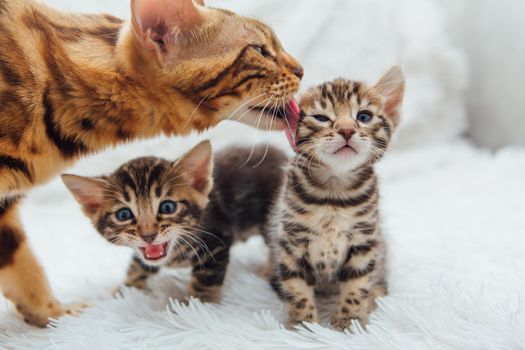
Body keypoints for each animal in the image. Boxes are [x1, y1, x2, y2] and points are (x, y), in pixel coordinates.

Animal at [63, 142, 288, 304]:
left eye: (167, 207)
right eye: (124, 214)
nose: (148, 235)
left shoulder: (217, 243)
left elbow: (205, 280)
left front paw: (197, 306)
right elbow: (137, 266)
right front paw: (125, 289)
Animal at [268, 66, 404, 330]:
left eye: (364, 116)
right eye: (322, 118)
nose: (346, 130)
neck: (334, 193)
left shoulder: (365, 241)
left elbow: (357, 284)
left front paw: (349, 321)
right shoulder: (291, 241)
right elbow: (296, 287)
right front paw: (304, 324)